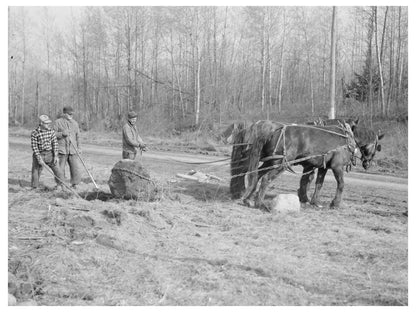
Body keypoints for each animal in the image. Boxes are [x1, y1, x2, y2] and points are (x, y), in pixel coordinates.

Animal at [229, 119, 386, 210]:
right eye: (377, 146)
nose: (367, 164)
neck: (346, 137)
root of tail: (272, 130)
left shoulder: (323, 167)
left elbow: (318, 184)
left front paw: (315, 202)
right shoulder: (337, 166)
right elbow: (341, 184)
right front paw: (335, 203)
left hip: (270, 160)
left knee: (256, 175)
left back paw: (248, 199)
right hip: (280, 163)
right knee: (265, 178)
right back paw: (259, 203)